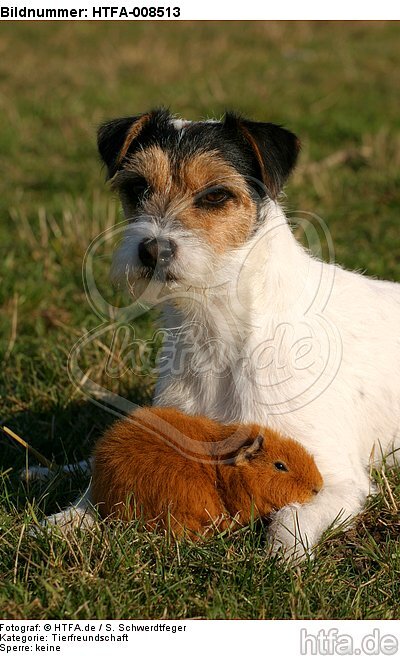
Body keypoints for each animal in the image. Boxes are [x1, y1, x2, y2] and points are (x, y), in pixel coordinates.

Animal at [44, 109, 400, 560]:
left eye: (215, 195)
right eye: (137, 187)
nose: (152, 250)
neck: (216, 331)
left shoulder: (338, 477)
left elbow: (294, 515)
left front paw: (283, 554)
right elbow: (97, 490)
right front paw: (62, 522)